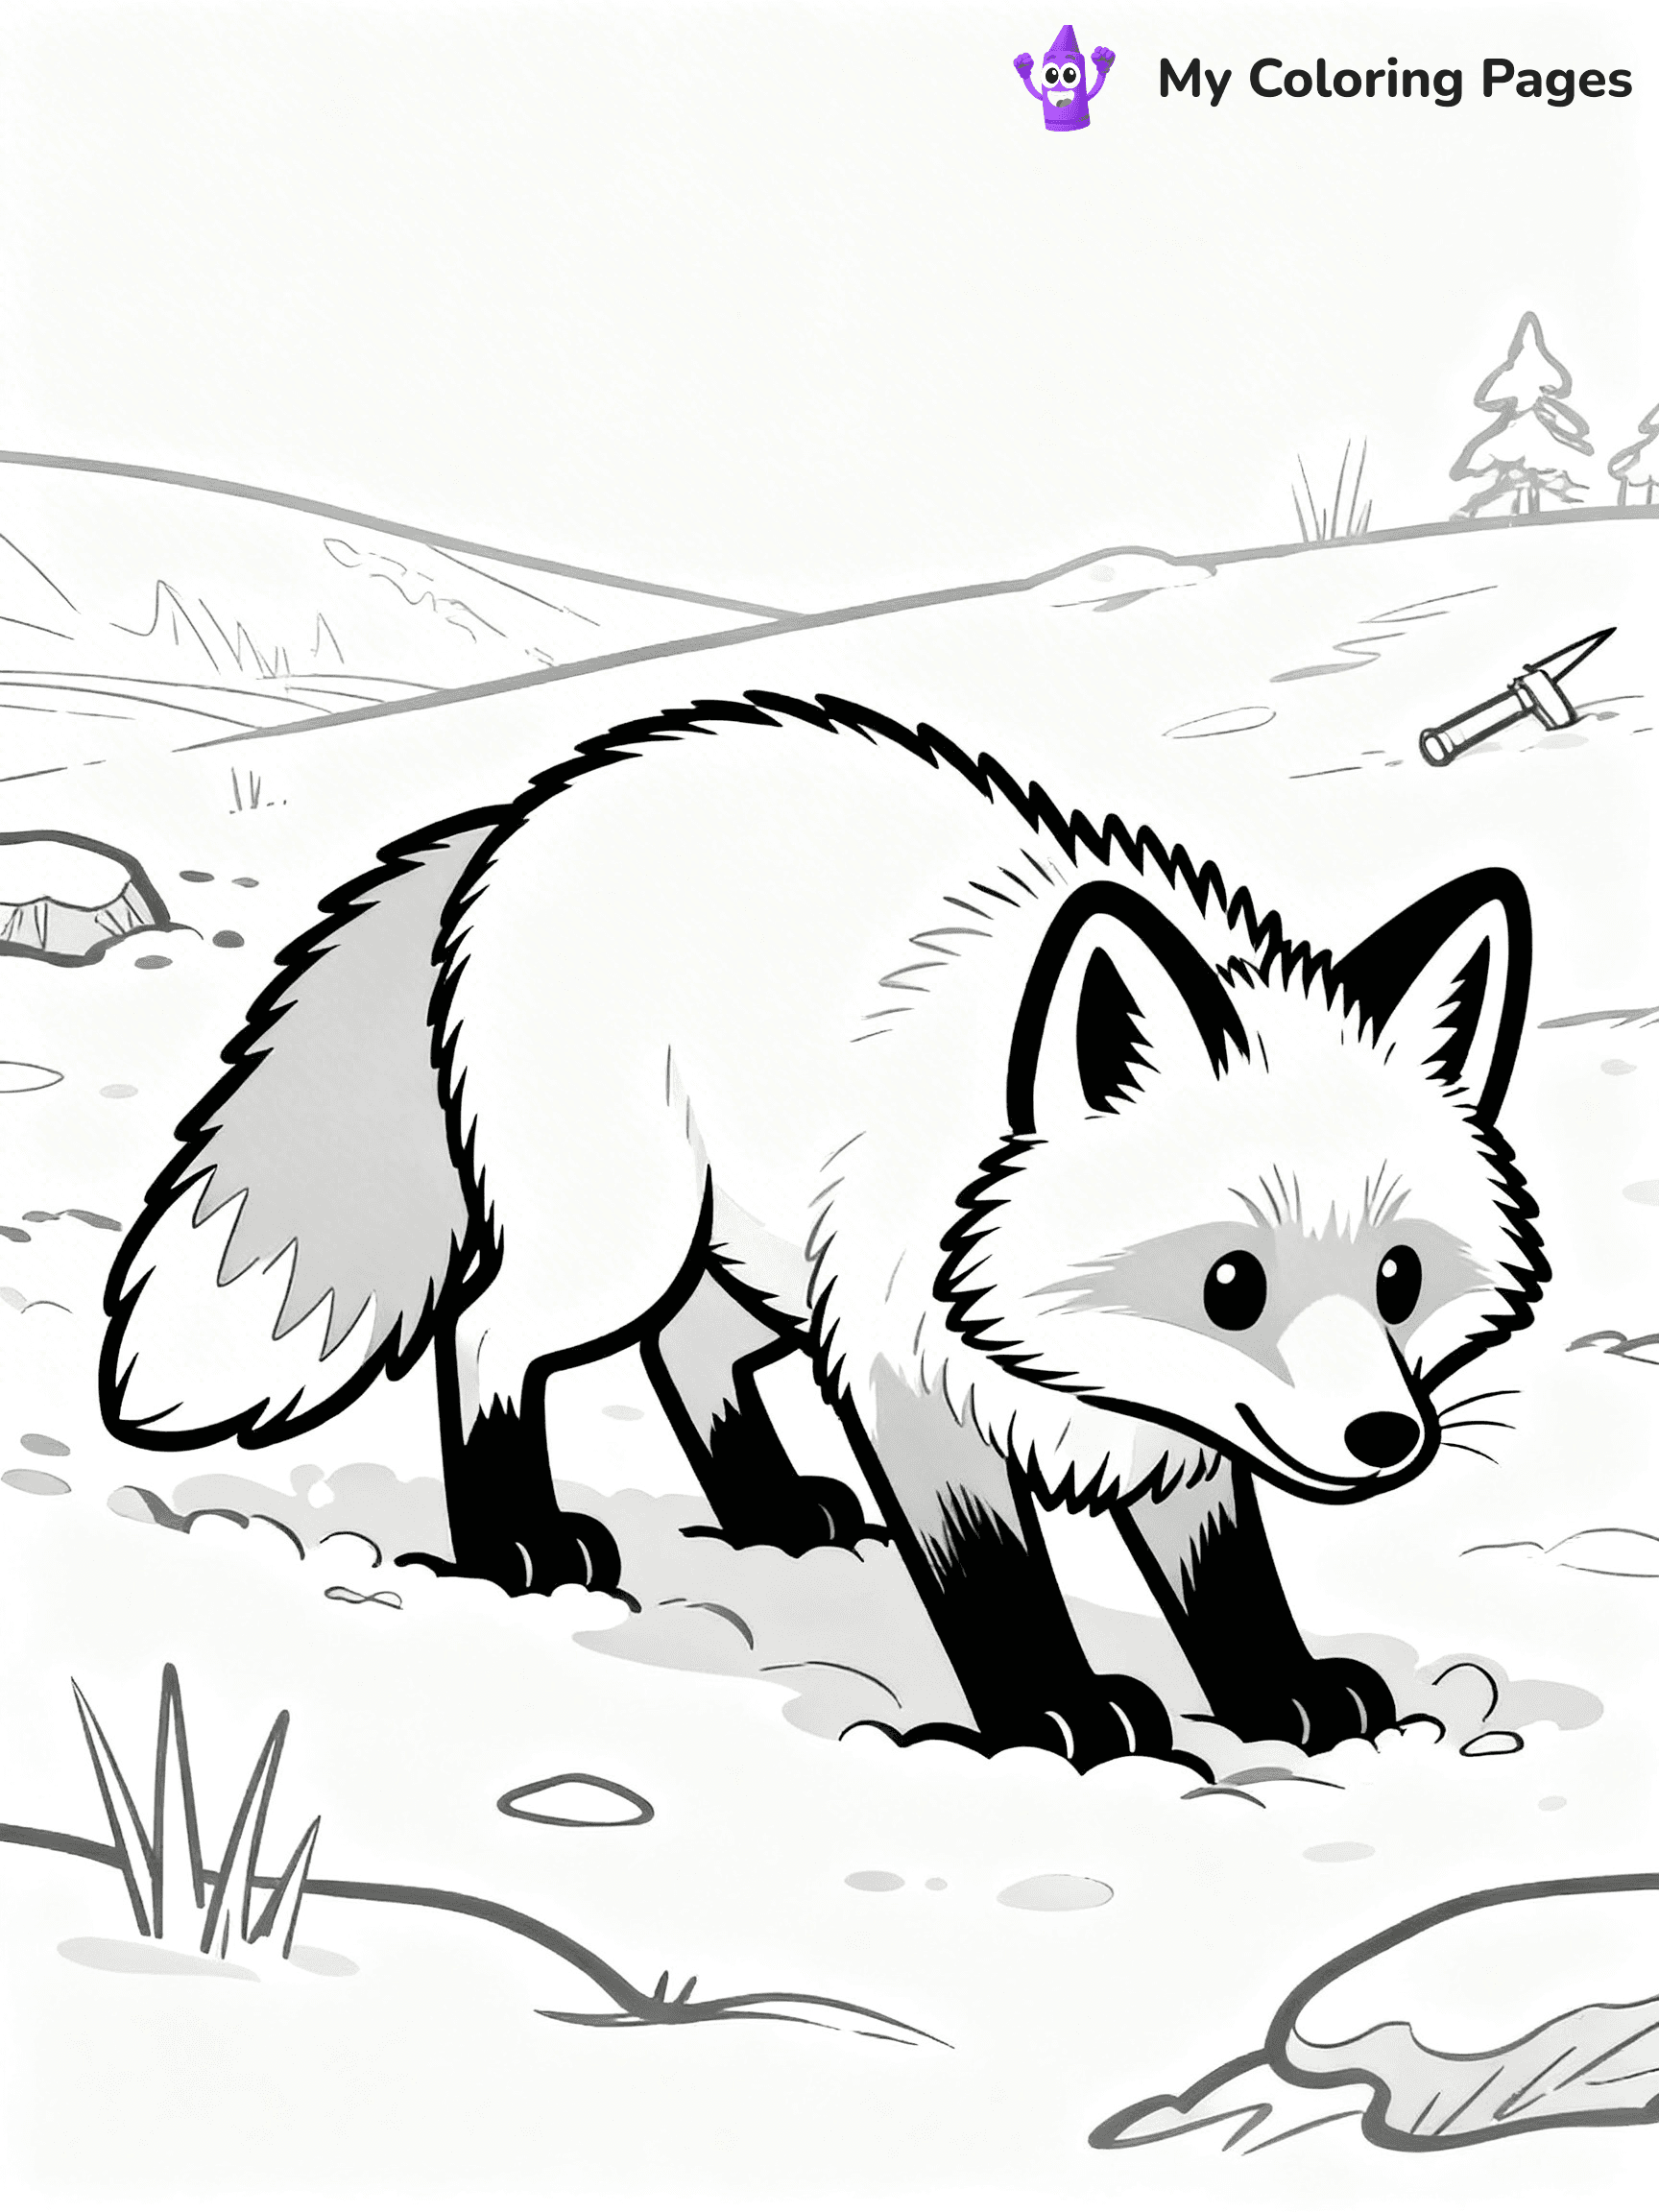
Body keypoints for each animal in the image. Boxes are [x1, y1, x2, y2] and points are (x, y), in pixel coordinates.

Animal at [101, 692, 1546, 1772]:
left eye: (1401, 1277)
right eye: (1232, 1283)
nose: (1387, 1440)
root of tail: (530, 804)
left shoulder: (1170, 1430)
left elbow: (1228, 1580)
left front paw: (1274, 1694)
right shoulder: (912, 1371)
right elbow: (992, 1577)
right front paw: (1053, 1713)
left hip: (757, 1260)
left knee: (683, 1353)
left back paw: (771, 1510)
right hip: (626, 1246)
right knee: (489, 1334)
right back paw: (517, 1541)